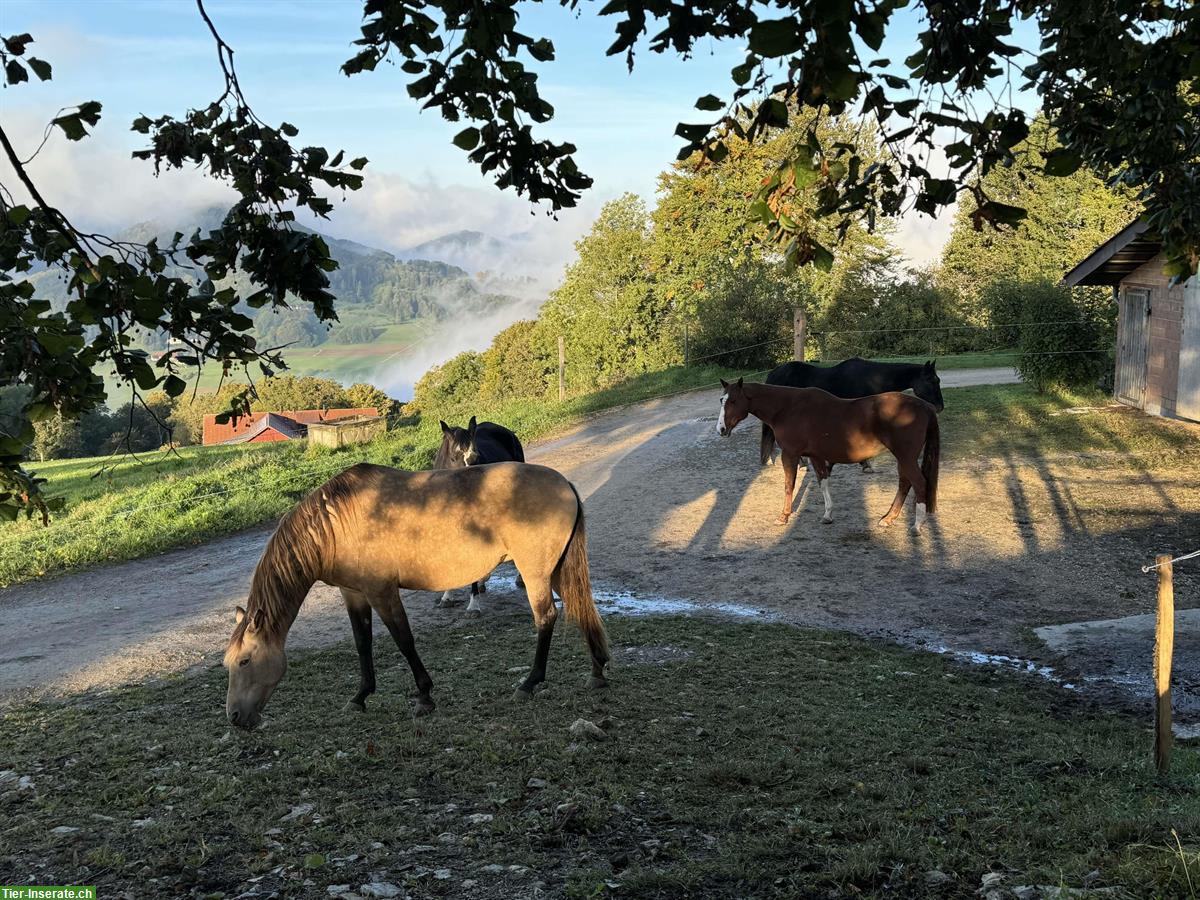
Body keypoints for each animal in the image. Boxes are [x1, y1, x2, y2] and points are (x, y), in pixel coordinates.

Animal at [225, 460, 609, 729]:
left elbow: (404, 641)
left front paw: (424, 696)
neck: (335, 524)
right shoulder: (354, 594)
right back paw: (597, 672)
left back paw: (529, 683)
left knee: (546, 618)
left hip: (535, 572)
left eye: (245, 661)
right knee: (580, 608)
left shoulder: (382, 592)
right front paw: (360, 697)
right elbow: (362, 644)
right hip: (556, 571)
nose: (234, 718)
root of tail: (565, 484)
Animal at [715, 381, 940, 535]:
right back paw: (888, 518)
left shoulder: (790, 454)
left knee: (919, 483)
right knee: (904, 483)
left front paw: (784, 516)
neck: (787, 408)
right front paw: (827, 515)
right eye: (721, 400)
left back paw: (916, 526)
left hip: (905, 457)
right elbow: (823, 482)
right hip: (903, 458)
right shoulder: (815, 456)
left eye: (733, 401)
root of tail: (925, 406)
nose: (721, 429)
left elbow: (789, 485)